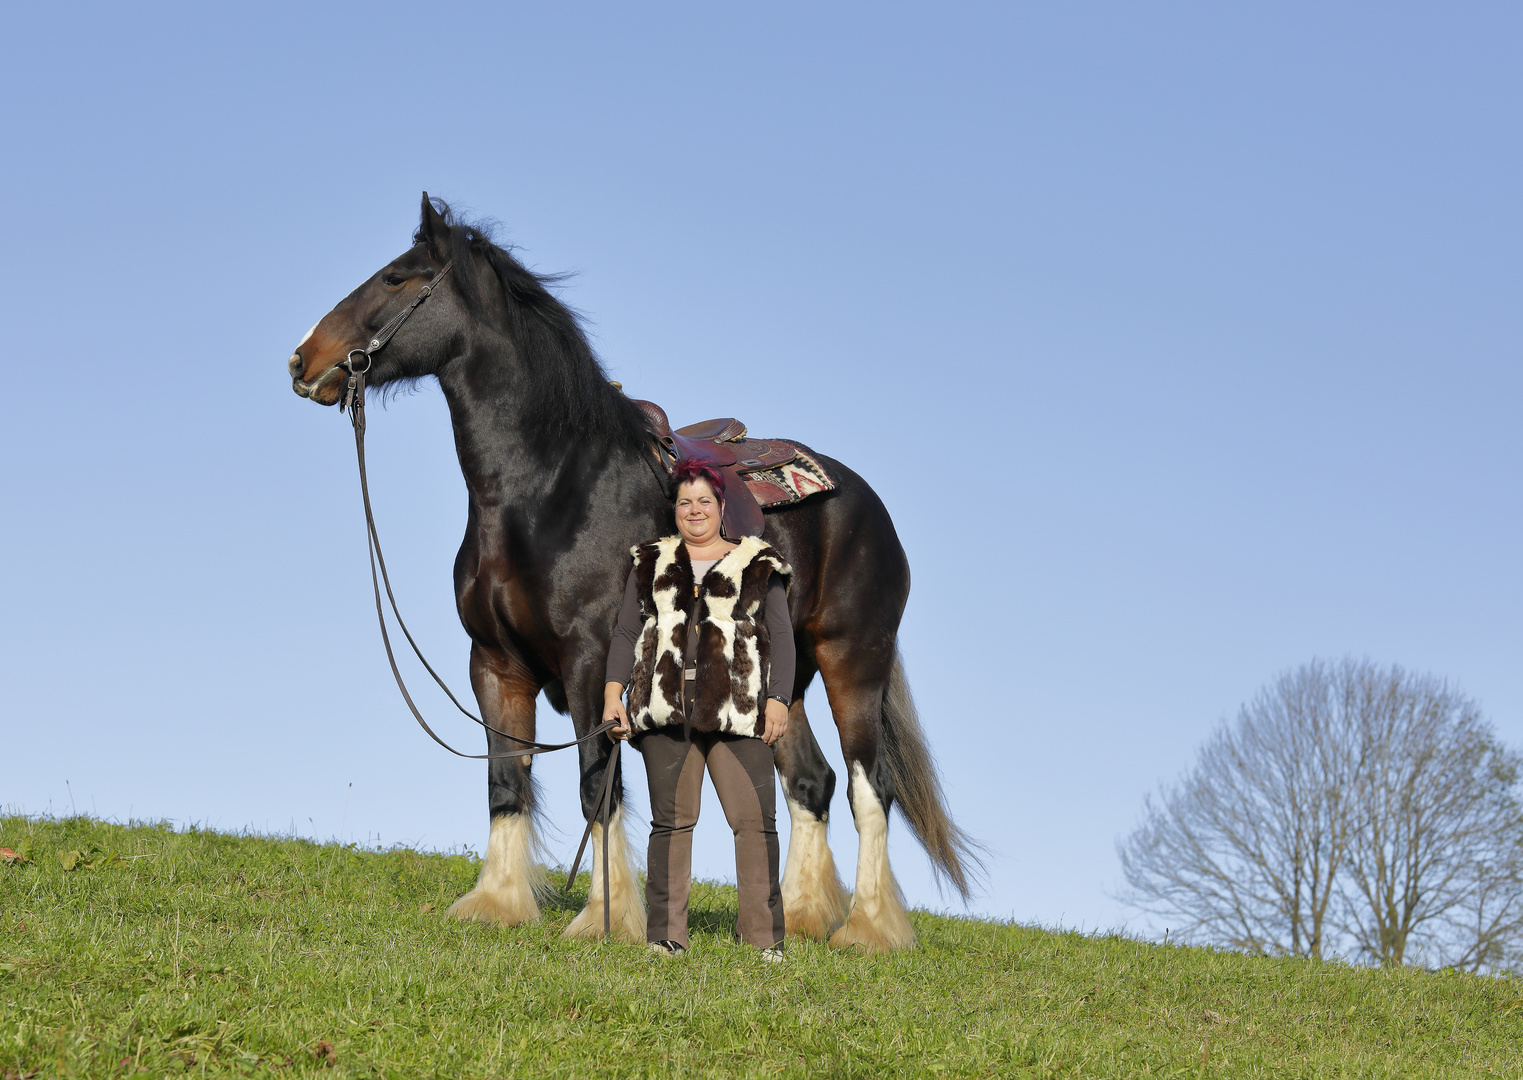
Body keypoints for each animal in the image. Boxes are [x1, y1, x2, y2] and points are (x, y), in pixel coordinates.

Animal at [287, 193, 974, 950]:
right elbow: (505, 780)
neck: (549, 486)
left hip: (854, 658)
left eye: (396, 278)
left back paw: (867, 929)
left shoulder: (593, 662)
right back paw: (795, 916)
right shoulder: (494, 663)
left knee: (867, 784)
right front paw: (498, 903)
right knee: (810, 783)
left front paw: (603, 917)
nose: (303, 360)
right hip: (781, 683)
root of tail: (865, 503)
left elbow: (598, 785)